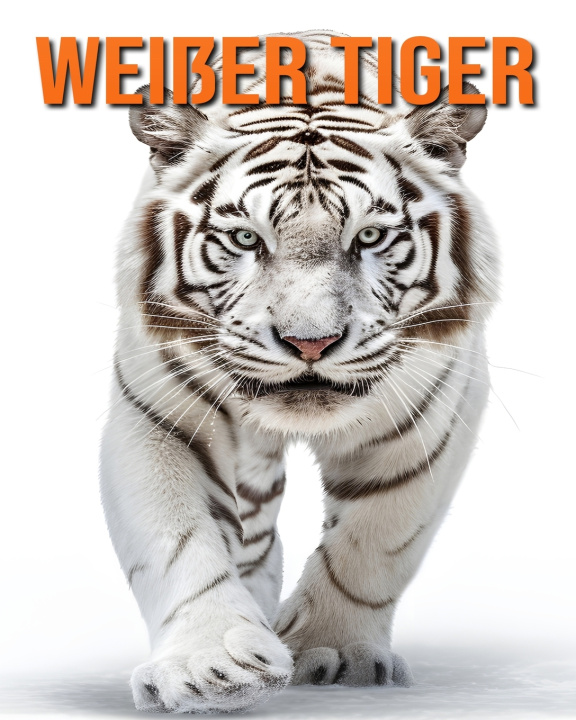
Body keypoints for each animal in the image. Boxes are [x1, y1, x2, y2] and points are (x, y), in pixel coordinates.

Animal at [100, 30, 499, 713]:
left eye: (369, 237)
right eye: (244, 239)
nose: (310, 343)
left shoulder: (434, 411)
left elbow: (374, 540)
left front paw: (333, 653)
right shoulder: (157, 409)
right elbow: (178, 538)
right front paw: (210, 667)